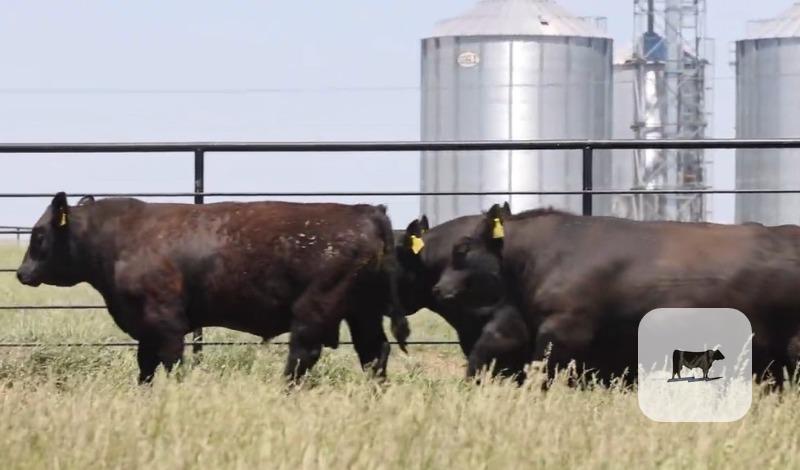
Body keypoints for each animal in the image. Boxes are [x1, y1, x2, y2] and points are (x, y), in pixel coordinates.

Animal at [16, 192, 402, 384]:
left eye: (39, 235)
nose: (21, 273)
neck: (119, 239)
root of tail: (365, 211)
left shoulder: (165, 320)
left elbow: (171, 362)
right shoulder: (144, 325)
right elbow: (145, 367)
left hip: (315, 308)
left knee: (303, 355)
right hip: (363, 311)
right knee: (374, 353)